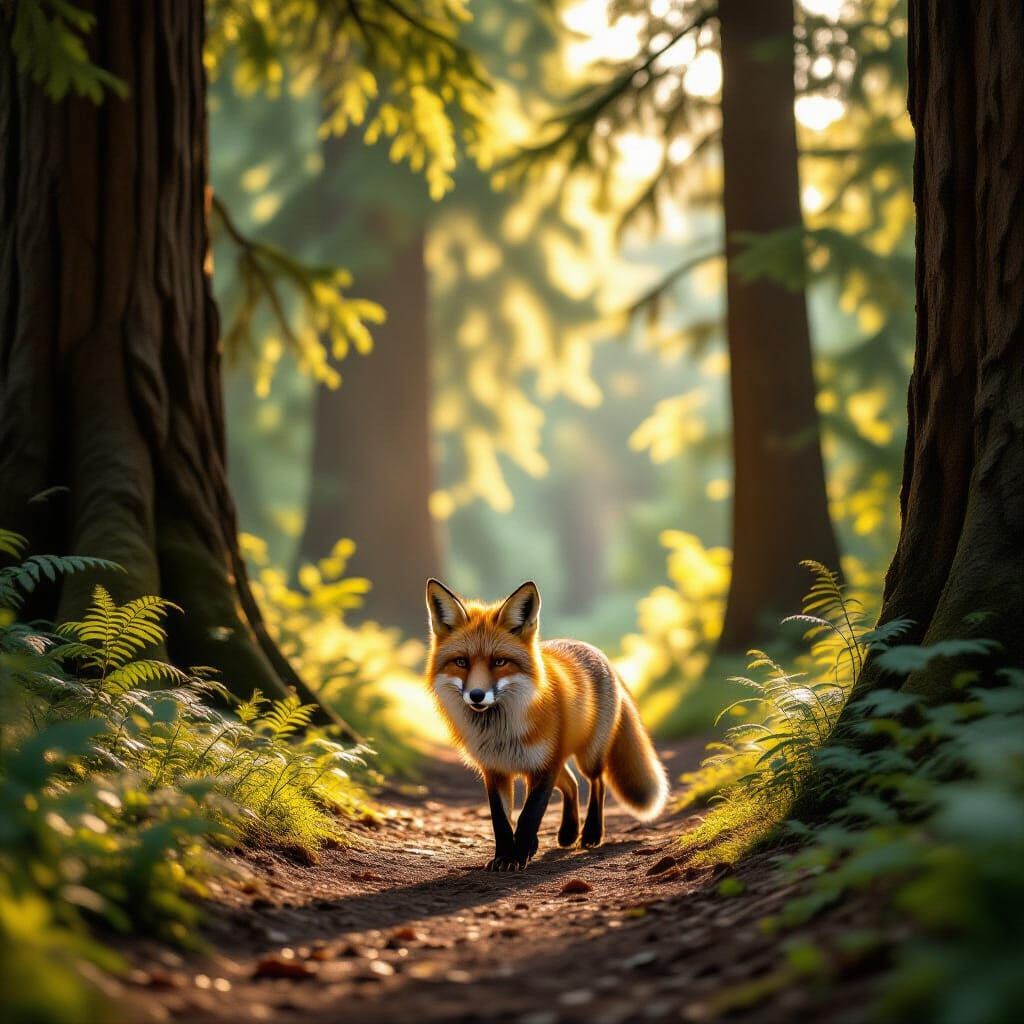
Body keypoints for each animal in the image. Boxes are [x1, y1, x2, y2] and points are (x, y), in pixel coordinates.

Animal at [426, 578, 669, 871]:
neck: (500, 731)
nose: (476, 695)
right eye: (461, 662)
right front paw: (506, 856)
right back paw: (567, 833)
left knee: (597, 782)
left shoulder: (542, 768)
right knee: (572, 784)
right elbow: (501, 821)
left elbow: (529, 815)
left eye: (499, 662)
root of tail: (599, 653)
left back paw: (591, 833)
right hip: (558, 760)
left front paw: (519, 855)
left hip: (587, 756)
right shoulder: (495, 770)